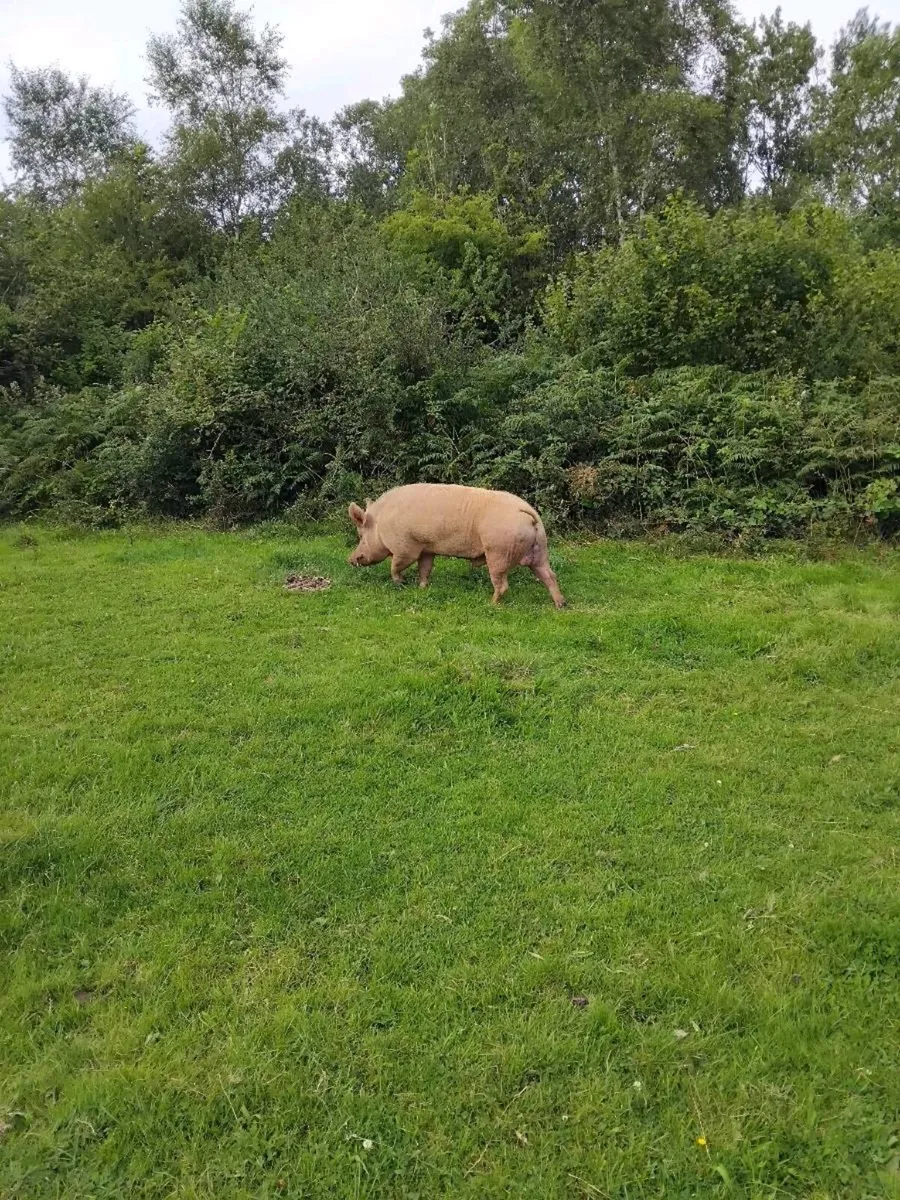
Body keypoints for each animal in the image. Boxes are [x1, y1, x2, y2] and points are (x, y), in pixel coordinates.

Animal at [348, 483, 566, 608]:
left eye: (361, 535)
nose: (350, 559)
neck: (381, 524)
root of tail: (528, 513)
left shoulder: (406, 547)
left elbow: (396, 565)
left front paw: (400, 583)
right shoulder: (427, 549)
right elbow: (425, 569)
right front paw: (422, 588)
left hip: (498, 553)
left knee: (503, 584)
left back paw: (491, 604)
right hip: (540, 551)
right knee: (550, 576)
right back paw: (561, 605)